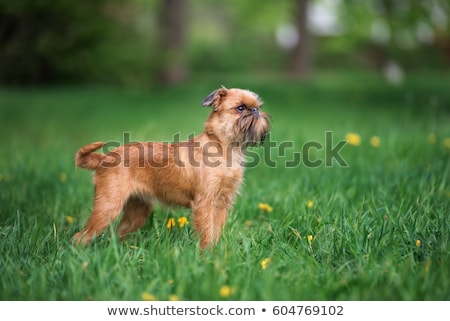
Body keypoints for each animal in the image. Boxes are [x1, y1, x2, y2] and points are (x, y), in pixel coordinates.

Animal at [73, 87, 270, 248]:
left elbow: (216, 231)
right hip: (108, 205)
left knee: (117, 233)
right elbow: (207, 231)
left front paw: (216, 254)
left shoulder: (222, 203)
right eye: (240, 108)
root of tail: (105, 157)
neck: (224, 148)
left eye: (257, 106)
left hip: (138, 210)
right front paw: (206, 256)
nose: (255, 111)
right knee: (81, 236)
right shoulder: (205, 203)